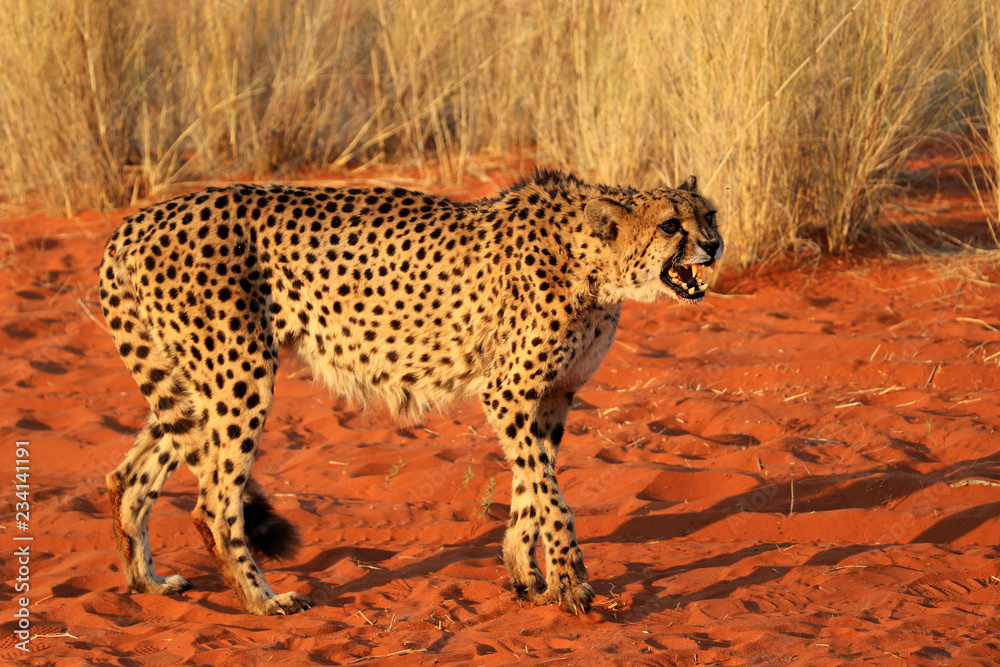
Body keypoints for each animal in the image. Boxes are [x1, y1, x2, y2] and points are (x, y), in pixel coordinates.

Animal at [99, 171, 720, 616]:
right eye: (671, 225)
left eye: (709, 215)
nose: (714, 246)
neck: (593, 260)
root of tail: (141, 218)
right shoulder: (510, 394)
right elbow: (551, 496)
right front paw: (570, 584)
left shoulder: (551, 398)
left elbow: (531, 489)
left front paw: (527, 576)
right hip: (240, 372)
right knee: (213, 499)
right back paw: (261, 600)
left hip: (194, 380)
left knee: (130, 474)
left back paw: (147, 582)